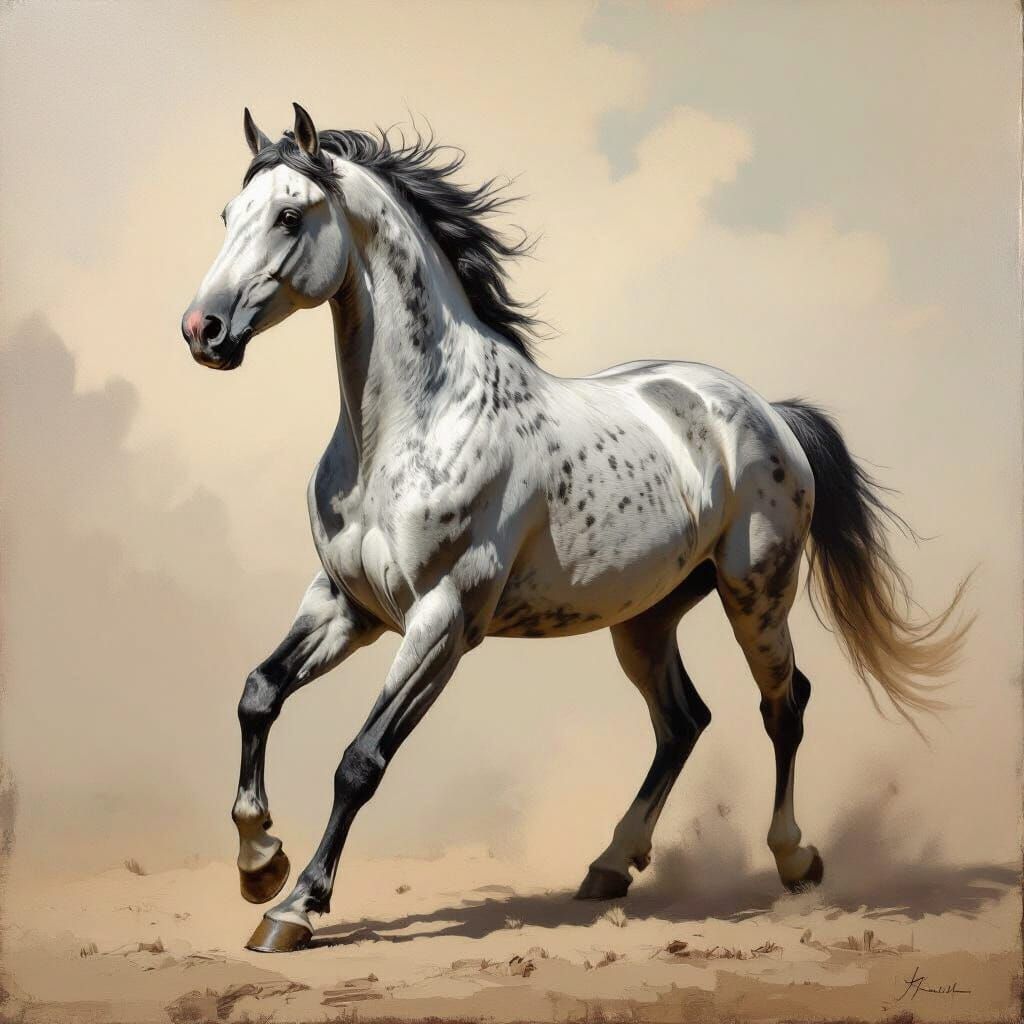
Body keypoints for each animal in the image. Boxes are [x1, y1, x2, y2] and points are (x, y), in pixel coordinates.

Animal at [181, 104, 969, 953]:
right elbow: (258, 693)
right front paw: (258, 861)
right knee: (684, 722)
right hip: (646, 619)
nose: (202, 329)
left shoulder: (443, 621)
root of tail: (767, 411)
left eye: (291, 217)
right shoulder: (345, 603)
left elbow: (360, 760)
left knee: (783, 706)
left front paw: (293, 907)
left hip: (757, 596)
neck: (403, 432)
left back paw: (796, 862)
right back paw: (609, 866)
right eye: (227, 215)